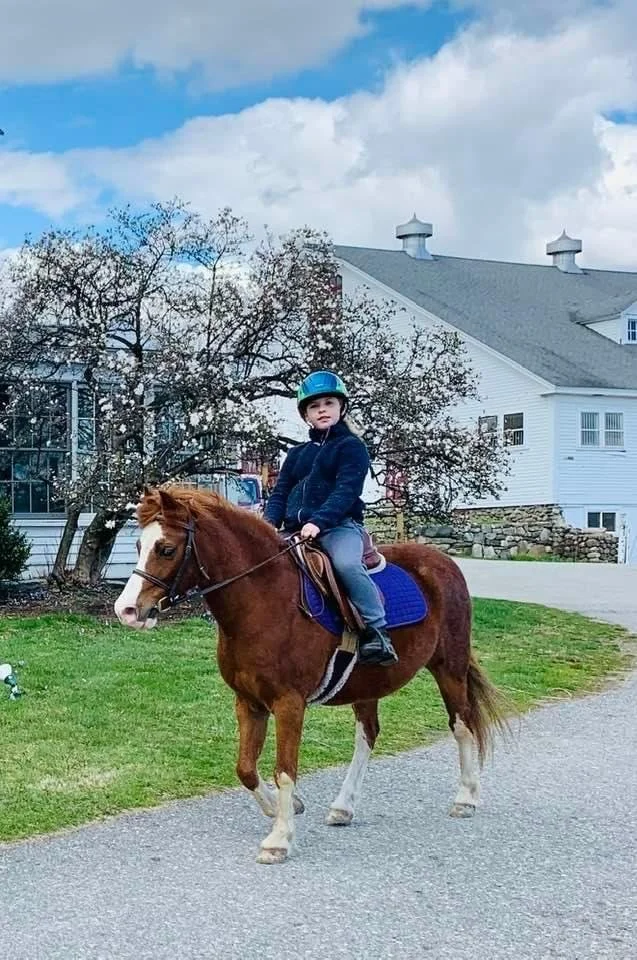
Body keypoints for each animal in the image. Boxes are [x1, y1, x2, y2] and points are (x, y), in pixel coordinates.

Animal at [114, 486, 508, 864]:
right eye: (138, 546)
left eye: (166, 548)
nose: (127, 610)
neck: (265, 600)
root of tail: (443, 562)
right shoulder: (248, 701)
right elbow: (246, 768)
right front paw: (284, 808)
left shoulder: (289, 703)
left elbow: (284, 769)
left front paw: (279, 839)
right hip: (369, 684)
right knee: (367, 735)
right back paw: (343, 807)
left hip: (449, 669)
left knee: (462, 725)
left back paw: (466, 798)